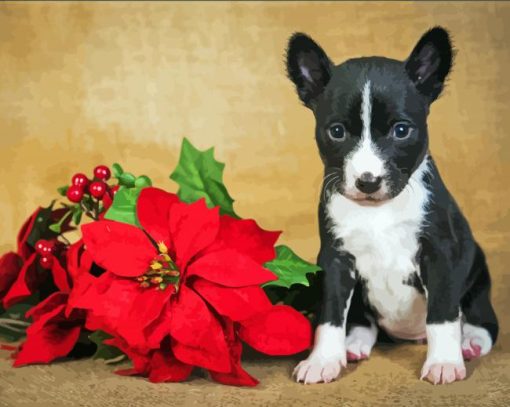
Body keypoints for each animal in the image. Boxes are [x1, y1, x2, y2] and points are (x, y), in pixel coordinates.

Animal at [286, 26, 498, 386]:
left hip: (478, 275)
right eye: (337, 131)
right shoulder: (335, 260)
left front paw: (443, 361)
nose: (368, 181)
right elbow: (330, 315)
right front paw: (322, 359)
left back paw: (470, 341)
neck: (378, 212)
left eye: (401, 130)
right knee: (362, 321)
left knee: (483, 320)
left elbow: (442, 314)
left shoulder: (440, 254)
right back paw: (353, 344)